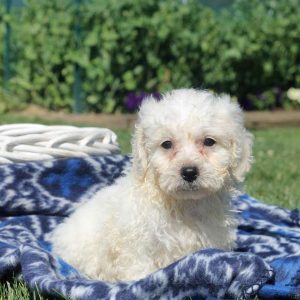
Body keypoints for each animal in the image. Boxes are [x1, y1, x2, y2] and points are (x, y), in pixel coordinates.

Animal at [50, 88, 252, 282]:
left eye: (209, 141)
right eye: (167, 144)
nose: (189, 172)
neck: (184, 205)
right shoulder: (138, 246)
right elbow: (139, 270)